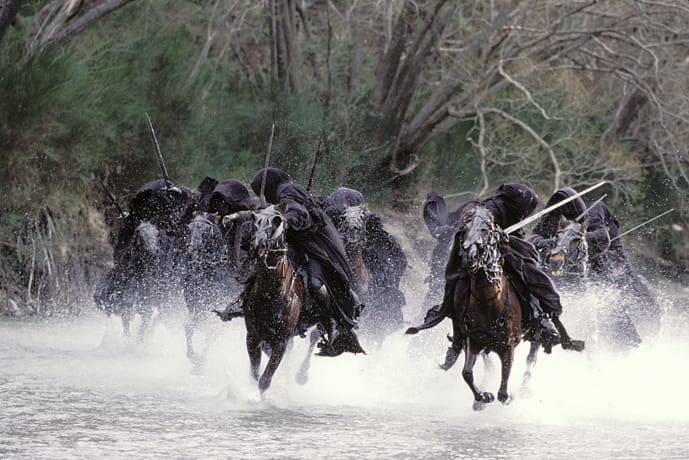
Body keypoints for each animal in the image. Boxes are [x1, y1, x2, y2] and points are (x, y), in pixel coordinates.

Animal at [243, 205, 322, 396]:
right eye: (254, 223)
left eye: (277, 223)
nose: (257, 247)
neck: (270, 297)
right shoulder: (252, 337)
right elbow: (255, 374)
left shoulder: (280, 342)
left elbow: (265, 380)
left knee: (315, 336)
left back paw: (302, 375)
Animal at [456, 205, 528, 410]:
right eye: (464, 229)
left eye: (485, 230)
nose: (470, 258)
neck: (487, 303)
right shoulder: (474, 341)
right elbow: (466, 373)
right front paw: (482, 397)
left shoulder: (508, 346)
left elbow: (503, 392)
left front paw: (507, 396)